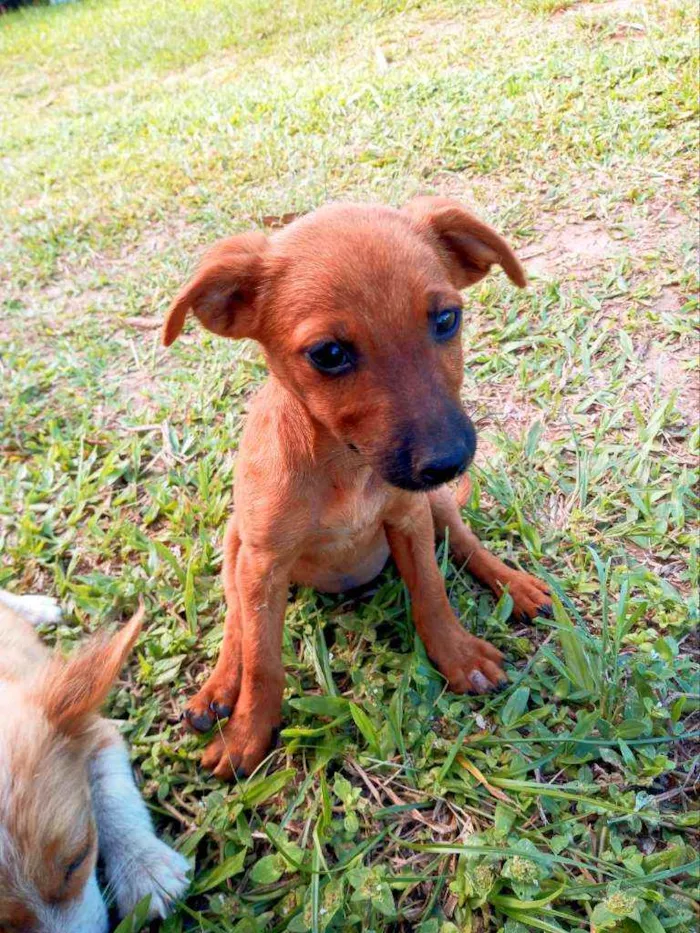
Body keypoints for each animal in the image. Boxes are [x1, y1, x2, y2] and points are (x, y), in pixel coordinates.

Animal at [164, 198, 552, 780]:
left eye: (447, 319)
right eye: (328, 354)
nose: (448, 460)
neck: (344, 466)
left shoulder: (409, 517)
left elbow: (431, 593)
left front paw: (459, 658)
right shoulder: (263, 562)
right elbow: (262, 660)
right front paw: (249, 731)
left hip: (436, 507)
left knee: (465, 544)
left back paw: (515, 585)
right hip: (234, 545)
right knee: (237, 621)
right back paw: (217, 689)